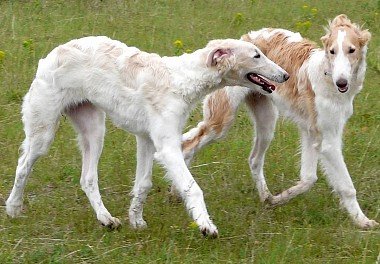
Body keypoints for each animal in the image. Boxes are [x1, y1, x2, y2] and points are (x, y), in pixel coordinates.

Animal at [5, 35, 288, 237]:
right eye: (257, 55)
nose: (285, 75)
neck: (182, 80)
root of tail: (53, 53)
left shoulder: (147, 140)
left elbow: (143, 184)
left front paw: (136, 221)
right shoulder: (167, 146)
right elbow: (192, 188)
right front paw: (206, 226)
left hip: (94, 129)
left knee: (87, 178)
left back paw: (106, 219)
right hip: (43, 131)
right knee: (23, 166)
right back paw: (13, 208)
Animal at [182, 14, 378, 229]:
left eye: (352, 50)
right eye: (332, 51)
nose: (341, 83)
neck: (327, 76)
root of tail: (244, 37)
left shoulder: (311, 133)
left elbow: (308, 179)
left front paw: (278, 199)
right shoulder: (328, 141)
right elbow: (347, 187)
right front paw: (363, 221)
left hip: (266, 122)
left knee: (253, 160)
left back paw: (266, 196)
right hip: (220, 121)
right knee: (188, 145)